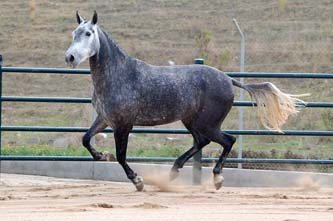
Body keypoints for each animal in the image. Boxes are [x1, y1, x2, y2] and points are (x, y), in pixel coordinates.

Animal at [64, 11, 304, 191]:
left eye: (88, 33)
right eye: (74, 33)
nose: (70, 57)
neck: (119, 75)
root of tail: (228, 79)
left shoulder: (123, 124)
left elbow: (121, 156)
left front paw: (138, 181)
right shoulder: (105, 119)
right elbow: (85, 139)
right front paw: (101, 155)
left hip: (207, 123)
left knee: (228, 140)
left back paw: (216, 179)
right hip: (193, 121)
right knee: (202, 142)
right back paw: (174, 172)